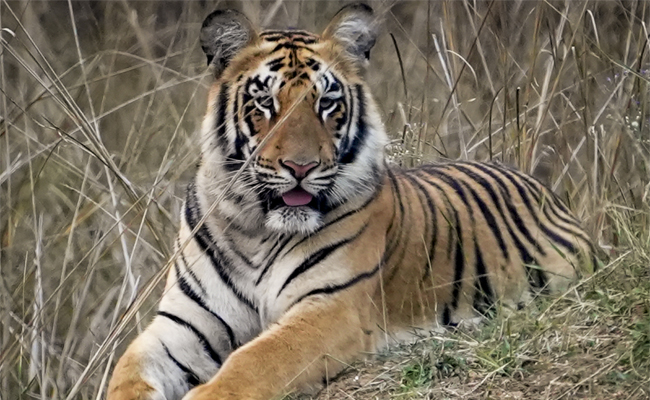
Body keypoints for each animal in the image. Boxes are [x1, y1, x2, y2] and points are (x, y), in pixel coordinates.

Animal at [107, 4, 596, 400]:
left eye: (327, 102)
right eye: (264, 102)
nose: (300, 166)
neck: (256, 228)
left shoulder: (329, 308)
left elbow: (254, 362)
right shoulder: (184, 321)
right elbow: (127, 369)